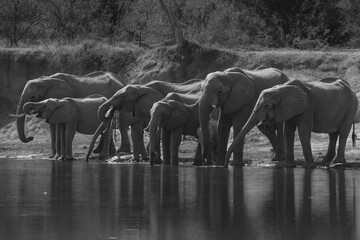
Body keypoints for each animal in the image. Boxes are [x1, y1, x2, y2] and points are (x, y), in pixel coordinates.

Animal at [225, 78, 358, 167]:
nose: (226, 165)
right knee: (333, 133)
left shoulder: (308, 106)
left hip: (351, 107)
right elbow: (288, 131)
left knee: (343, 131)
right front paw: (288, 166)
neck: (281, 89)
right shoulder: (289, 108)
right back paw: (326, 161)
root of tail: (352, 91)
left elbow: (303, 131)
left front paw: (309, 166)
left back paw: (337, 162)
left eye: (267, 106)